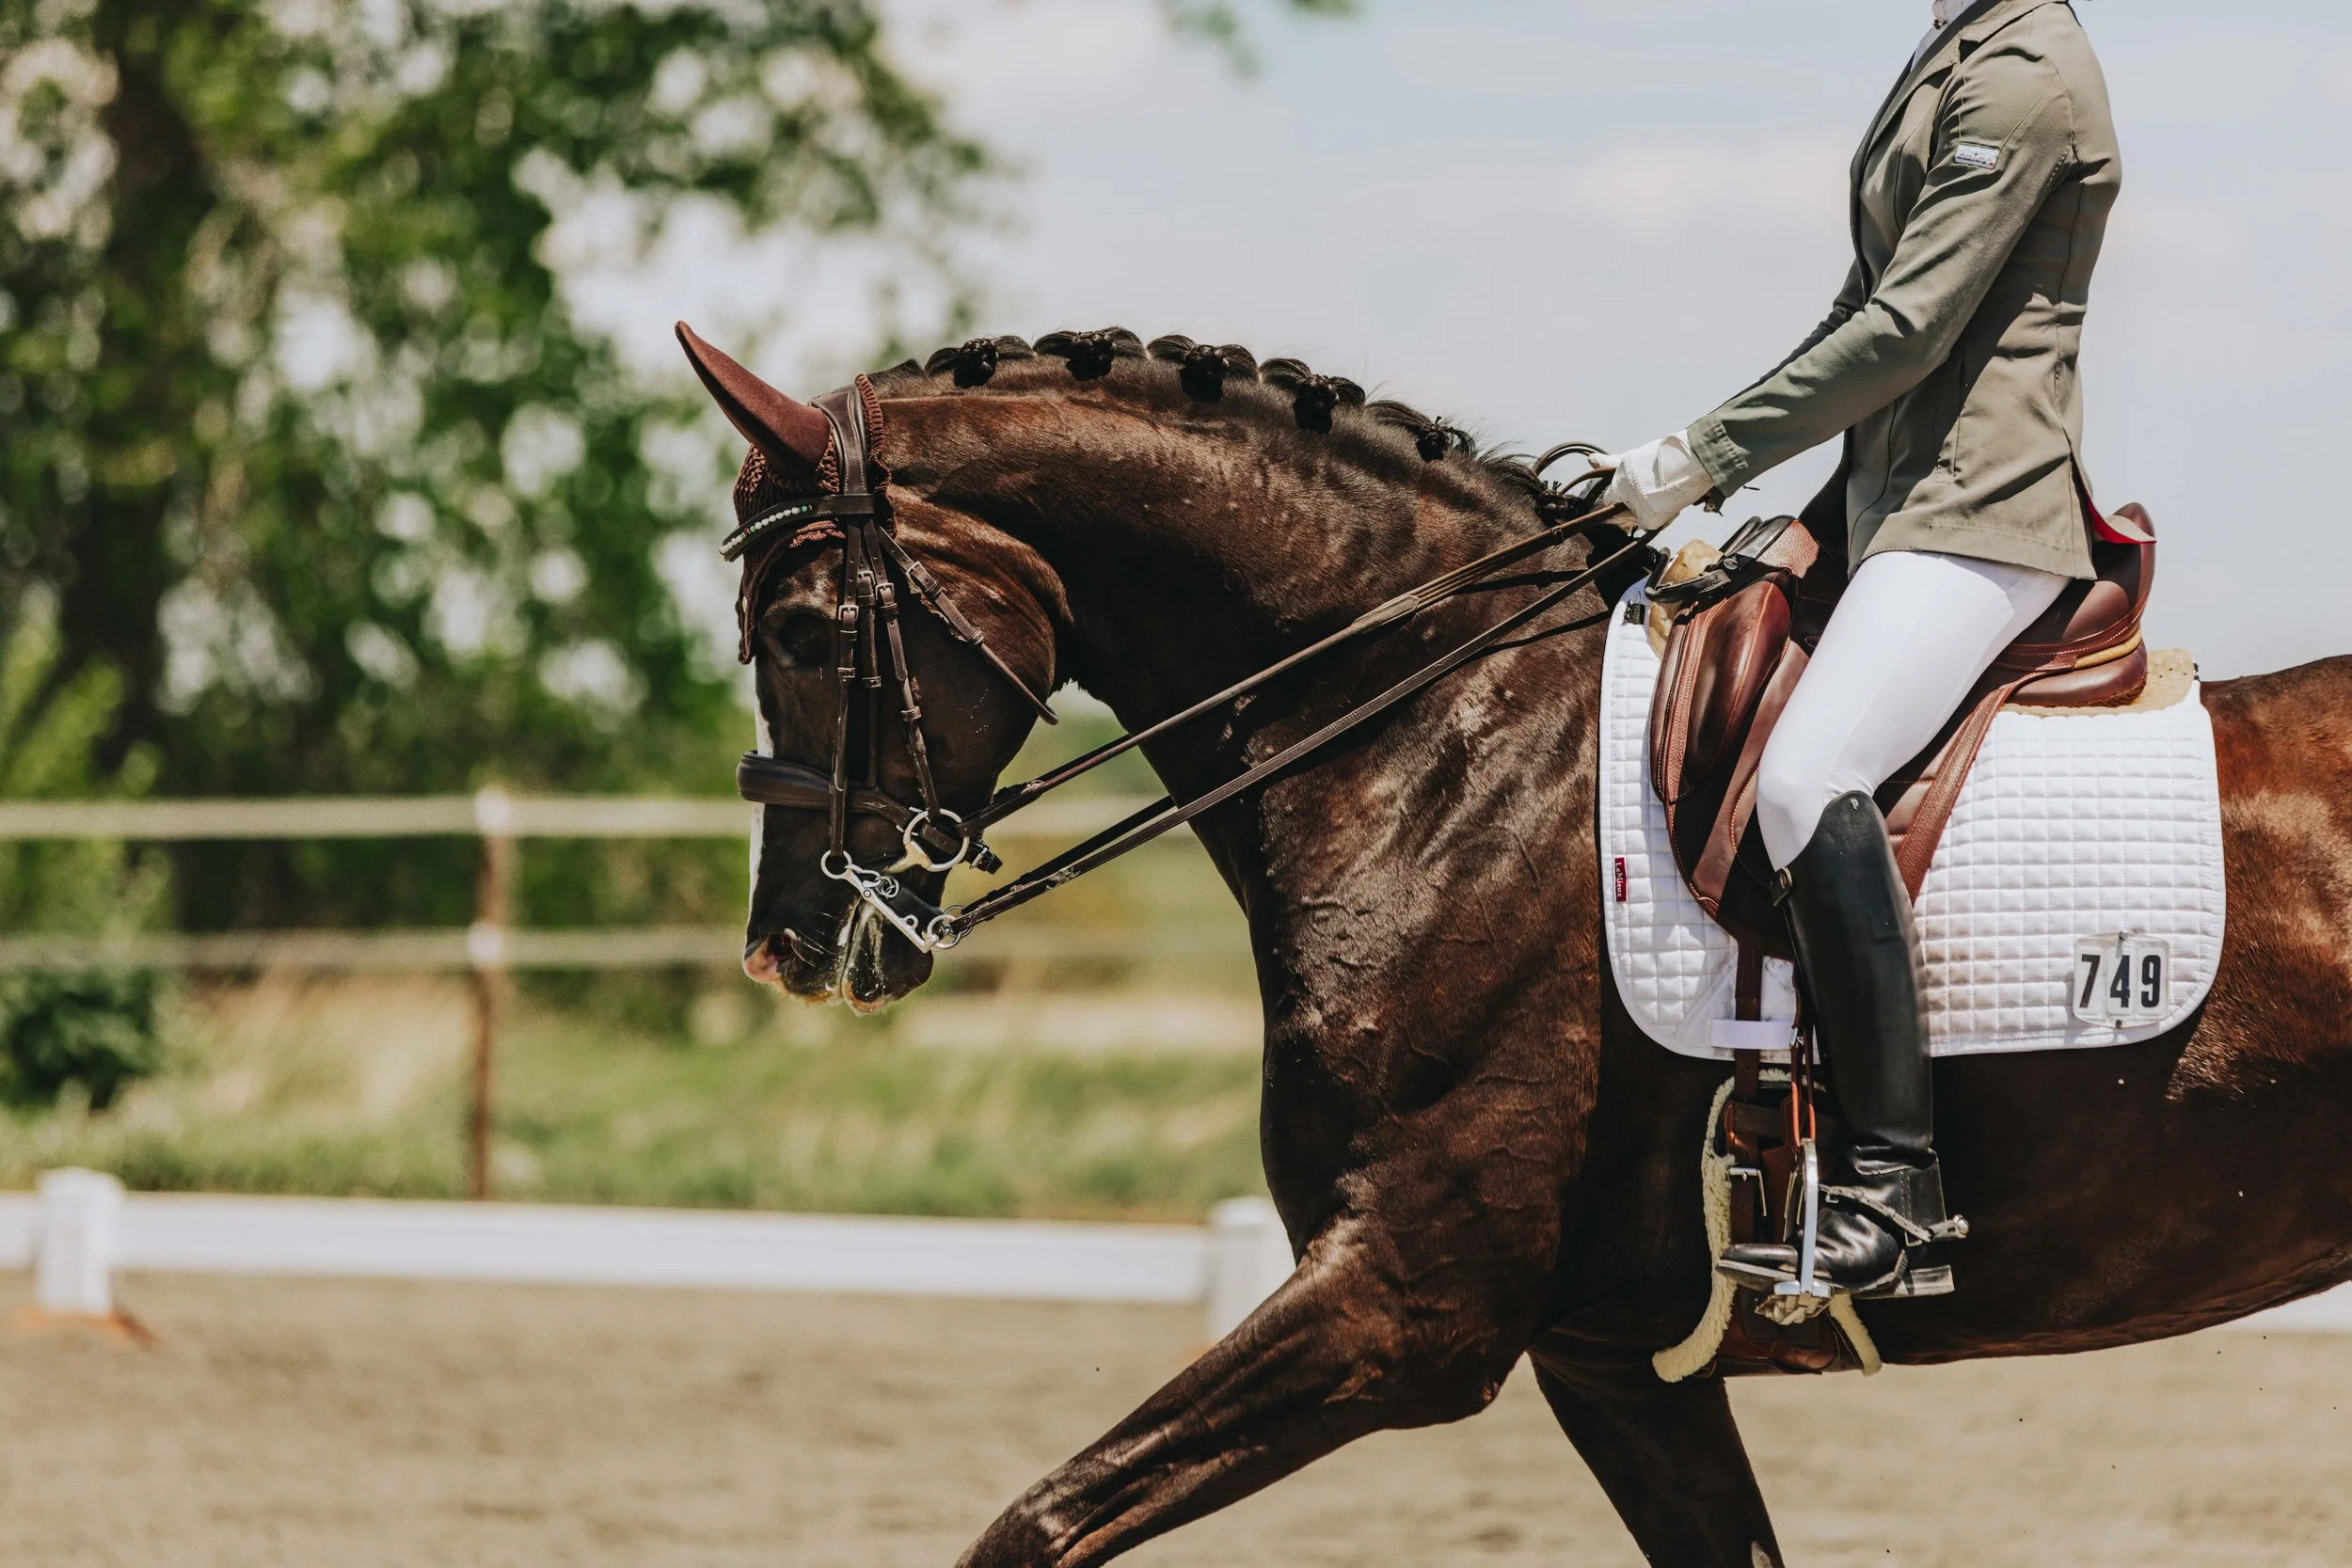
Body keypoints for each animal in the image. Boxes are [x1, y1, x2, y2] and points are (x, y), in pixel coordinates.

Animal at [685, 324, 2352, 1568]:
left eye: (808, 628)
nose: (792, 942)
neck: (1442, 745)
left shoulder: (1405, 1303)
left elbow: (1032, 1522)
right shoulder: (1618, 1364)